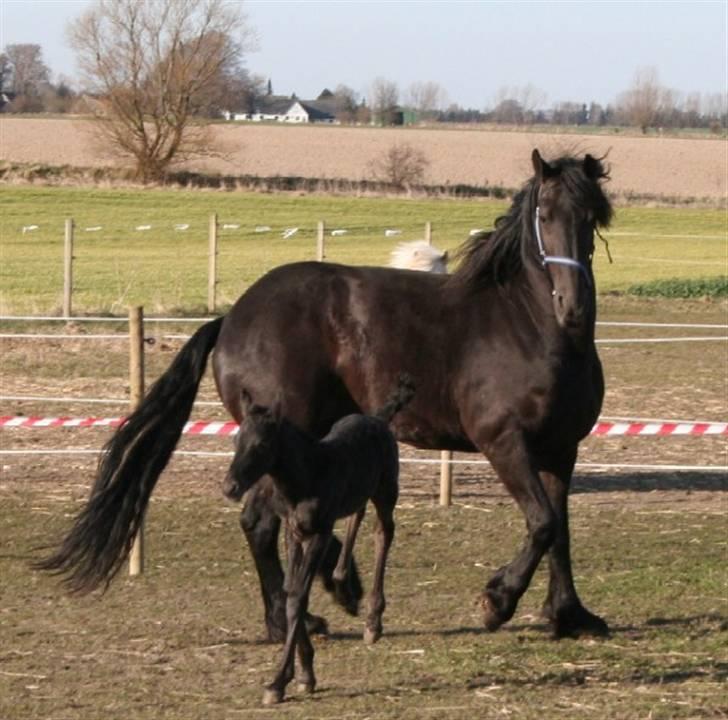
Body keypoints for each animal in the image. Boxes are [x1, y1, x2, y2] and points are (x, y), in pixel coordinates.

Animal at [38, 148, 616, 640]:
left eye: (592, 216)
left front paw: (570, 615)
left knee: (271, 519)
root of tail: (233, 317)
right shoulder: (503, 441)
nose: (572, 305)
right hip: (278, 436)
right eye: (543, 215)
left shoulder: (561, 449)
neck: (529, 327)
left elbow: (560, 529)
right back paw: (298, 615)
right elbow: (542, 524)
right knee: (260, 520)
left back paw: (322, 600)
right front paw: (497, 601)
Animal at [222, 380, 416, 704]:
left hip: (387, 490)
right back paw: (341, 582)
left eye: (261, 444)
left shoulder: (318, 535)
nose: (230, 487)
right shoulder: (293, 533)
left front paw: (279, 682)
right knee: (356, 515)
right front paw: (304, 675)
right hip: (359, 492)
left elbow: (298, 596)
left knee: (384, 532)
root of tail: (378, 417)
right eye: (236, 439)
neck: (307, 476)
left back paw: (373, 621)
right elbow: (290, 591)